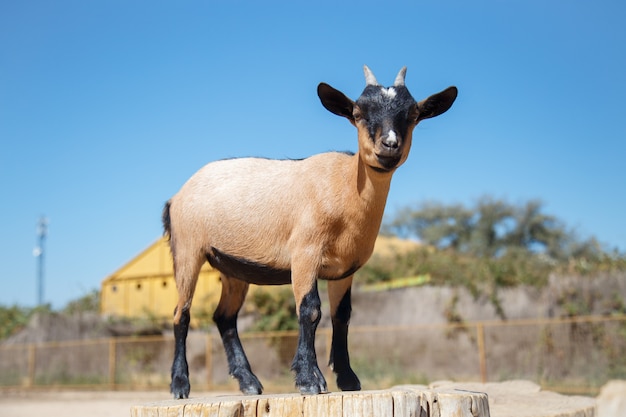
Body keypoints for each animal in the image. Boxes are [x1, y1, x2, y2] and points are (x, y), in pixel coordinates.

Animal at [162, 66, 454, 398]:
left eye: (413, 114)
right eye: (358, 113)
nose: (390, 144)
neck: (346, 187)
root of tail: (176, 197)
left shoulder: (344, 269)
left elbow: (342, 316)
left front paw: (348, 380)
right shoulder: (304, 253)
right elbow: (310, 310)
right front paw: (309, 379)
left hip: (233, 267)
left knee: (224, 317)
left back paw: (249, 382)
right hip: (188, 248)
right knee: (181, 313)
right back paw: (180, 385)